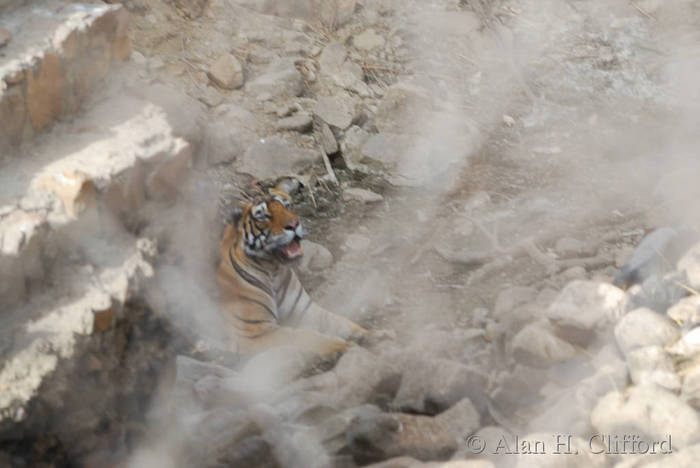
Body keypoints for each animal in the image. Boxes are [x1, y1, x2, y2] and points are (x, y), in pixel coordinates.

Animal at [216, 179, 368, 360]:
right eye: (263, 216)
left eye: (288, 206)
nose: (294, 224)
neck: (273, 269)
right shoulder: (254, 332)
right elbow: (305, 337)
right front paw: (343, 345)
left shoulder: (306, 312)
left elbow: (341, 322)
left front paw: (375, 334)